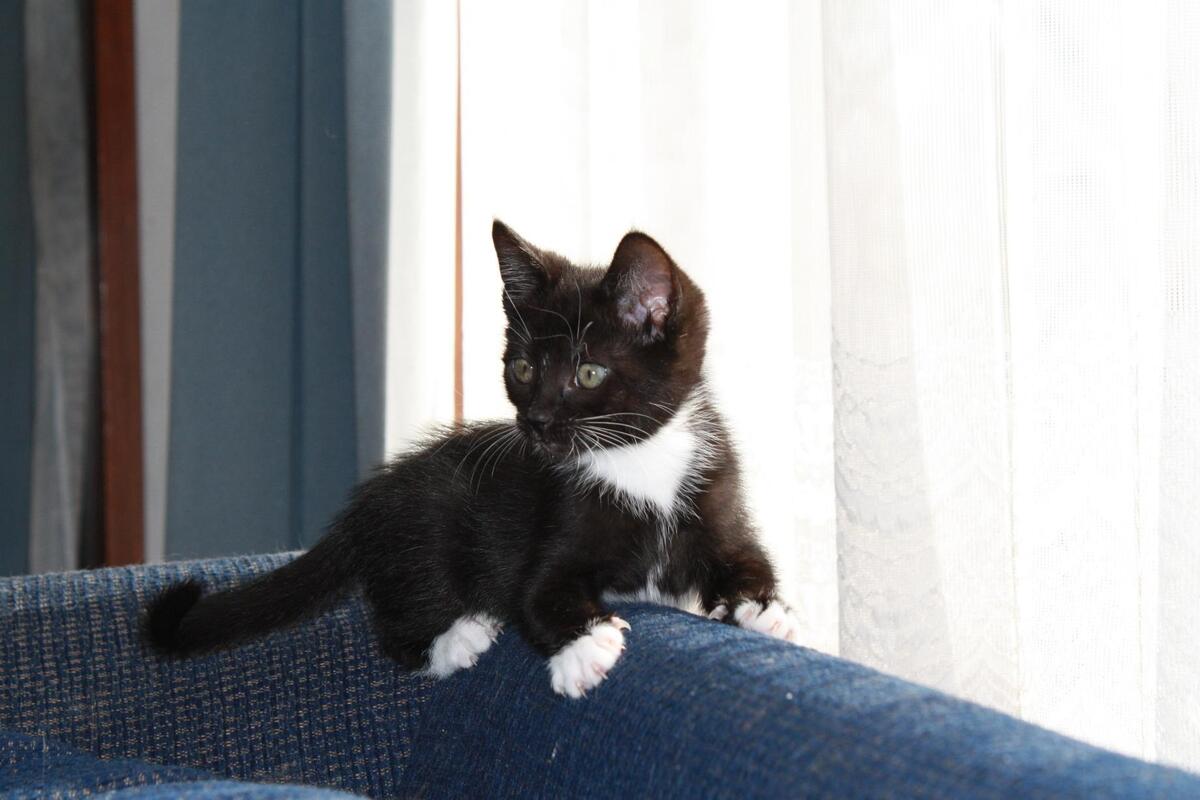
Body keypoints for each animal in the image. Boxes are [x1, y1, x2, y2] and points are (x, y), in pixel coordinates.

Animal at [145, 221, 801, 695]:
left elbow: (746, 559)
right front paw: (584, 649)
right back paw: (457, 639)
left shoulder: (715, 494)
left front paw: (767, 609)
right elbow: (536, 596)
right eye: (524, 369)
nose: (536, 422)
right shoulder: (555, 525)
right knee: (396, 617)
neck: (639, 461)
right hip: (429, 522)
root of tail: (366, 506)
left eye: (589, 372)